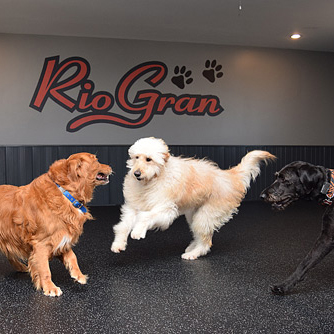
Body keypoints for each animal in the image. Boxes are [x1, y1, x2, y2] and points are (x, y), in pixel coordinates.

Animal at [111, 137, 276, 260]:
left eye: (148, 159)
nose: (136, 173)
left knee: (206, 242)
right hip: (194, 216)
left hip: (205, 216)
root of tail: (228, 177)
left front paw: (138, 231)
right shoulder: (133, 206)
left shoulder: (165, 209)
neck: (154, 178)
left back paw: (193, 253)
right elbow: (124, 225)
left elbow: (145, 216)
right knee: (200, 236)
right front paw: (119, 243)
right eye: (136, 157)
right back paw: (192, 247)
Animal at [260, 162, 334, 294]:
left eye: (284, 179)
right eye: (276, 177)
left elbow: (305, 262)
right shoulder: (326, 237)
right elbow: (305, 263)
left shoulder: (327, 239)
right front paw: (284, 285)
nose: (262, 196)